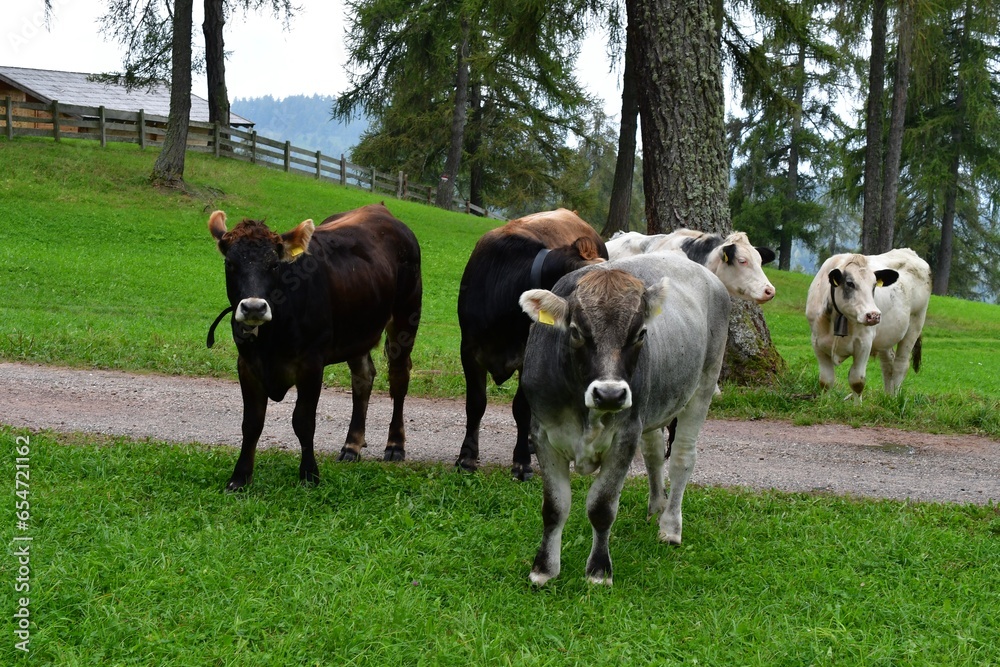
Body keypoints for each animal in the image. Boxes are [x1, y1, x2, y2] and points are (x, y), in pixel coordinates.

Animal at [206, 203, 422, 491]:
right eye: (230, 263)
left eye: (274, 265)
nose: (253, 307)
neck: (270, 338)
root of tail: (380, 209)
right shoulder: (247, 364)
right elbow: (251, 423)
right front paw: (240, 478)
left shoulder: (311, 364)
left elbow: (304, 421)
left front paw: (309, 474)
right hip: (356, 331)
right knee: (363, 378)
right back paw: (352, 445)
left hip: (406, 315)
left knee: (398, 378)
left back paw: (395, 444)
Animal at [456, 209, 608, 480]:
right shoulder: (470, 350)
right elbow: (476, 403)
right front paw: (467, 457)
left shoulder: (528, 357)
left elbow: (521, 408)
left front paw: (521, 462)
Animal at [519, 252, 730, 586]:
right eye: (576, 332)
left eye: (640, 333)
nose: (610, 394)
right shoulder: (543, 434)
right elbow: (554, 507)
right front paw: (544, 569)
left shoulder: (625, 436)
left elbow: (602, 507)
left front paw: (598, 570)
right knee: (654, 454)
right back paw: (656, 506)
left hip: (704, 386)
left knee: (682, 458)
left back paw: (670, 525)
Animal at [805, 248, 931, 399]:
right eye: (850, 283)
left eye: (874, 285)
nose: (874, 315)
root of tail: (909, 252)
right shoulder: (817, 342)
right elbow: (825, 381)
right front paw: (825, 402)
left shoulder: (864, 343)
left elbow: (857, 382)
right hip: (885, 337)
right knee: (888, 364)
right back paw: (887, 397)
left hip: (915, 324)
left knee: (900, 365)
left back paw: (894, 399)